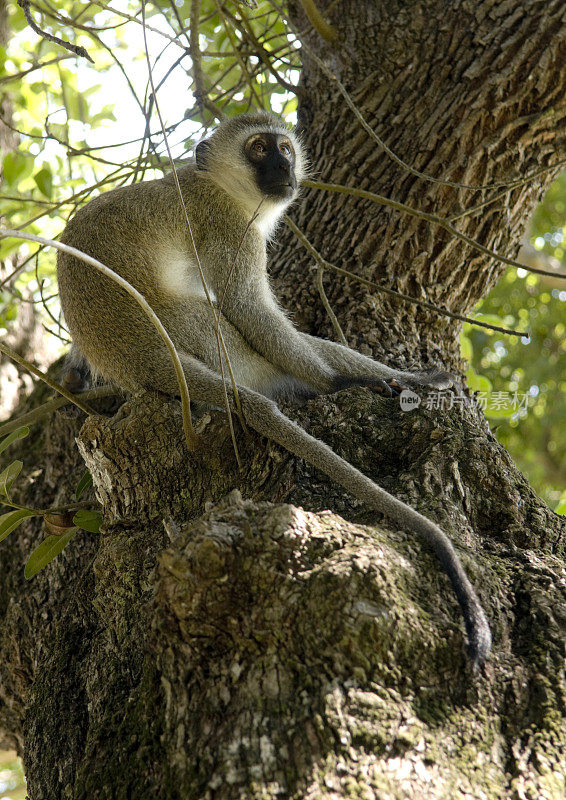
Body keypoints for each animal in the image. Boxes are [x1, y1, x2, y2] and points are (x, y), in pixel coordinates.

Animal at [56, 111, 492, 664]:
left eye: (284, 147)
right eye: (259, 148)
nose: (284, 166)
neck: (219, 184)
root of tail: (138, 357)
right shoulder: (226, 227)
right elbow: (247, 307)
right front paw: (343, 381)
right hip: (188, 330)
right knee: (235, 332)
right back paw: (336, 384)